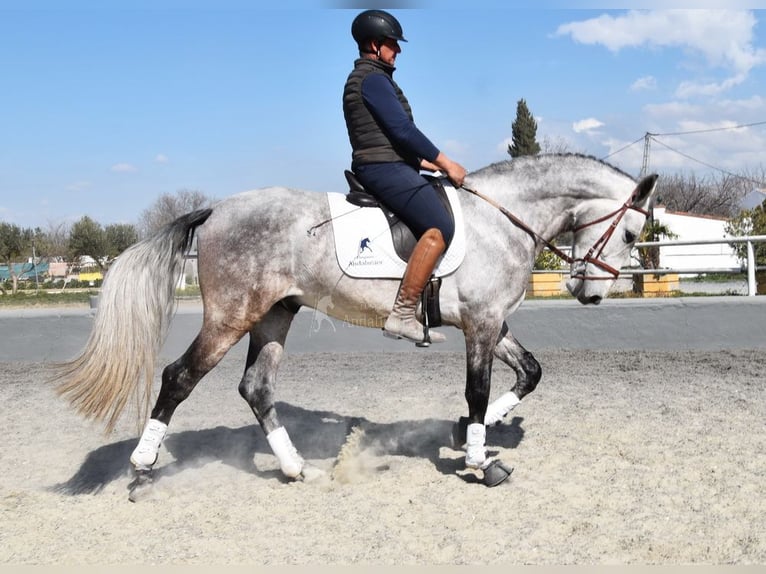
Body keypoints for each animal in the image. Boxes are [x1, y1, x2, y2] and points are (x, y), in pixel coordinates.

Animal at [55, 155, 660, 498]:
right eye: (633, 234)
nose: (591, 293)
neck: (500, 219)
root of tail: (217, 210)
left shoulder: (491, 321)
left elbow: (529, 373)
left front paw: (469, 431)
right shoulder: (482, 324)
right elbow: (479, 389)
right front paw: (478, 459)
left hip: (275, 314)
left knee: (257, 388)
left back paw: (295, 468)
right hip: (233, 315)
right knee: (180, 377)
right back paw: (142, 467)